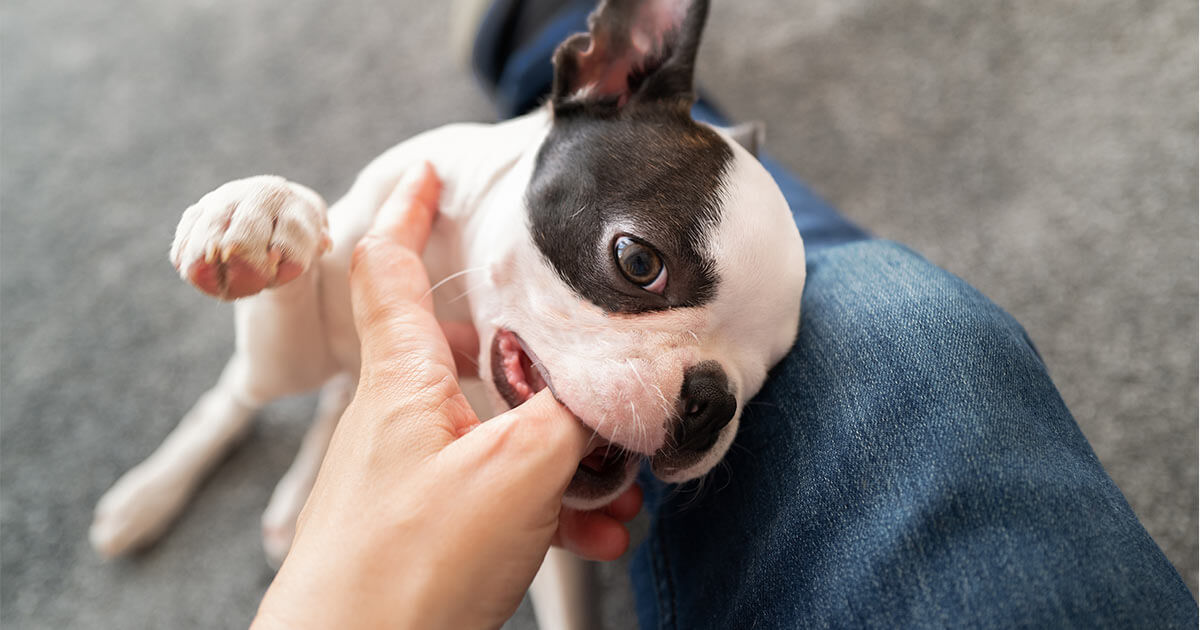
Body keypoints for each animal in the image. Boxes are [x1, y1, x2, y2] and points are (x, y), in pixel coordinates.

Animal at [91, 0, 806, 624]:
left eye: (767, 370)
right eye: (637, 262)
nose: (712, 404)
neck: (449, 291)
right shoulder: (307, 329)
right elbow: (290, 271)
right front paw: (263, 206)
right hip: (270, 374)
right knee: (238, 398)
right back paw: (148, 496)